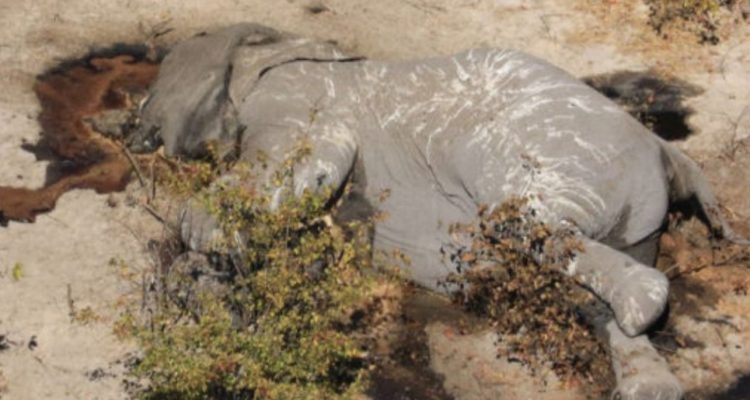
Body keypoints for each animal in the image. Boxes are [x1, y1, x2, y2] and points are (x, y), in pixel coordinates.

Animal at [136, 23, 746, 400]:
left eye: (160, 91)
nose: (136, 131)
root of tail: (670, 154)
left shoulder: (297, 95)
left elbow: (313, 154)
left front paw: (205, 242)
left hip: (555, 154)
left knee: (522, 221)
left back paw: (643, 304)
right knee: (582, 298)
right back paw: (646, 378)